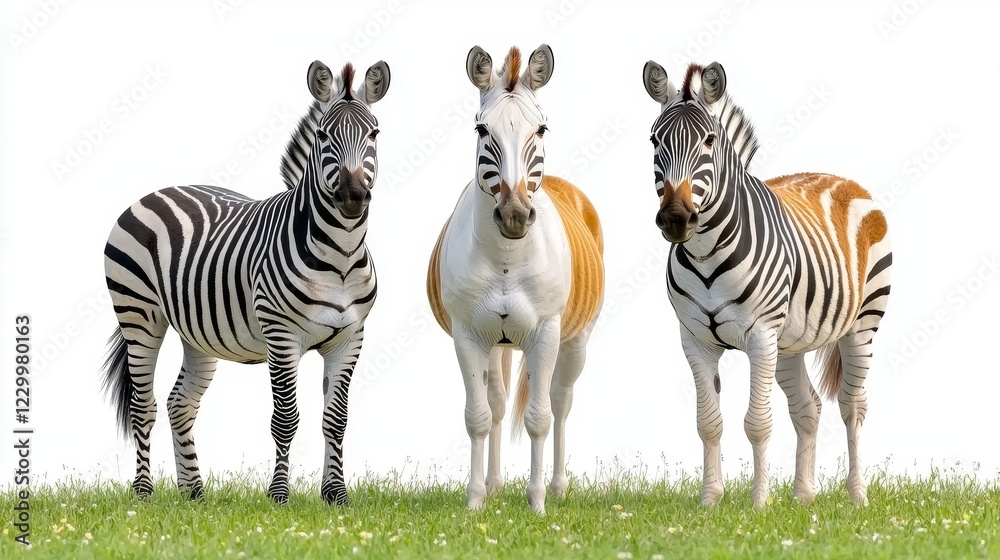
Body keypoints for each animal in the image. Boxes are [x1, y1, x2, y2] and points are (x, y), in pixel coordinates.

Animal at [101, 59, 390, 506]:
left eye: (374, 133)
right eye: (323, 135)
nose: (354, 196)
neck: (341, 256)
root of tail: (159, 190)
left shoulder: (351, 337)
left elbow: (336, 419)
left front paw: (336, 495)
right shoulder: (281, 334)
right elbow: (286, 418)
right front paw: (279, 495)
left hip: (197, 332)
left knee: (179, 404)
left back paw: (193, 494)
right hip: (138, 316)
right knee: (143, 405)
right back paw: (144, 493)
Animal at [426, 45, 605, 514]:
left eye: (540, 128)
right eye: (481, 129)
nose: (514, 216)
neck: (506, 259)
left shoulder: (546, 333)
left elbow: (540, 418)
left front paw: (537, 503)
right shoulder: (468, 334)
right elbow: (478, 417)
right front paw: (475, 501)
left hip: (576, 339)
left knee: (561, 402)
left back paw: (558, 488)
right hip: (496, 342)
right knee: (498, 403)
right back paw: (493, 485)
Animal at [641, 60, 892, 507]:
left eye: (709, 140)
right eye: (655, 140)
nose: (675, 218)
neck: (705, 252)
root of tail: (843, 179)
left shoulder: (760, 335)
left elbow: (757, 423)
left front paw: (758, 504)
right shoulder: (694, 339)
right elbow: (708, 422)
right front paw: (710, 501)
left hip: (863, 323)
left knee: (852, 406)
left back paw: (858, 496)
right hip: (790, 341)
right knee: (808, 407)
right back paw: (803, 497)